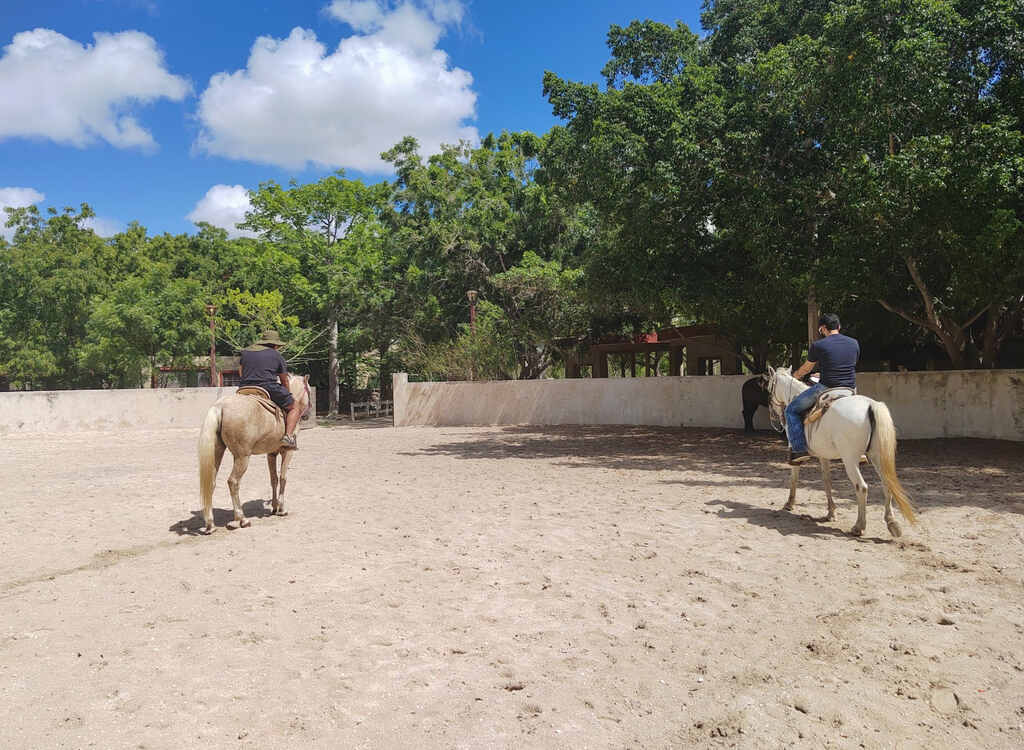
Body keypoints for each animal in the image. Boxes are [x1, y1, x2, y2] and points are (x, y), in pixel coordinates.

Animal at [197, 375, 309, 532]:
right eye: (308, 390)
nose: (307, 415)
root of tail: (220, 407)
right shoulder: (287, 452)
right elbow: (283, 478)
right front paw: (281, 509)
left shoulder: (271, 454)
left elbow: (273, 479)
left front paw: (274, 507)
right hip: (242, 458)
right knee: (233, 482)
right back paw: (241, 519)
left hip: (217, 453)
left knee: (211, 483)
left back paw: (210, 524)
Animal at [765, 366, 917, 536]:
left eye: (769, 389)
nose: (774, 418)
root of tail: (871, 405)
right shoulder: (823, 456)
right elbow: (827, 481)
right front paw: (831, 512)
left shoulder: (796, 452)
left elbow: (794, 477)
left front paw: (789, 503)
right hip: (877, 457)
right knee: (887, 484)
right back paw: (892, 523)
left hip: (850, 460)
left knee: (861, 487)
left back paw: (859, 526)